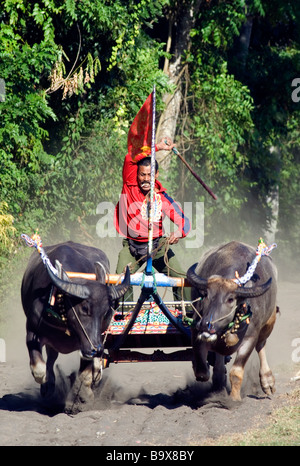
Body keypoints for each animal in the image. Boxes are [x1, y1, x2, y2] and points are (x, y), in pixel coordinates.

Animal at [21, 242, 129, 402]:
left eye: (105, 312)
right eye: (84, 308)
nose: (96, 349)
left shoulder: (87, 344)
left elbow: (85, 375)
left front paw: (87, 395)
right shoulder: (32, 331)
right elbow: (39, 370)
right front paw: (46, 384)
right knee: (51, 357)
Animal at [186, 240, 278, 400]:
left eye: (230, 299)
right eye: (206, 295)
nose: (206, 325)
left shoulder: (250, 338)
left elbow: (236, 372)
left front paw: (234, 399)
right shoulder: (196, 330)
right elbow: (202, 370)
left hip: (269, 322)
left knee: (261, 345)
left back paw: (267, 381)